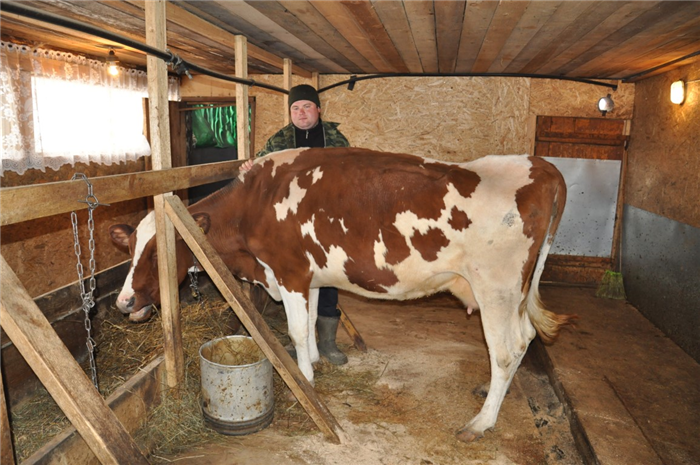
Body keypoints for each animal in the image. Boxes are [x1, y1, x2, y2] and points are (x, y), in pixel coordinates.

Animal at [106, 147, 572, 440]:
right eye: (128, 250)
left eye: (157, 252)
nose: (124, 301)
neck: (256, 203)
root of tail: (540, 165)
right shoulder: (310, 277)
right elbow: (312, 320)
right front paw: (314, 361)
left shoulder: (290, 271)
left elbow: (296, 330)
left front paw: (304, 381)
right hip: (515, 291)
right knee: (526, 336)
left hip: (496, 287)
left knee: (508, 349)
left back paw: (481, 423)